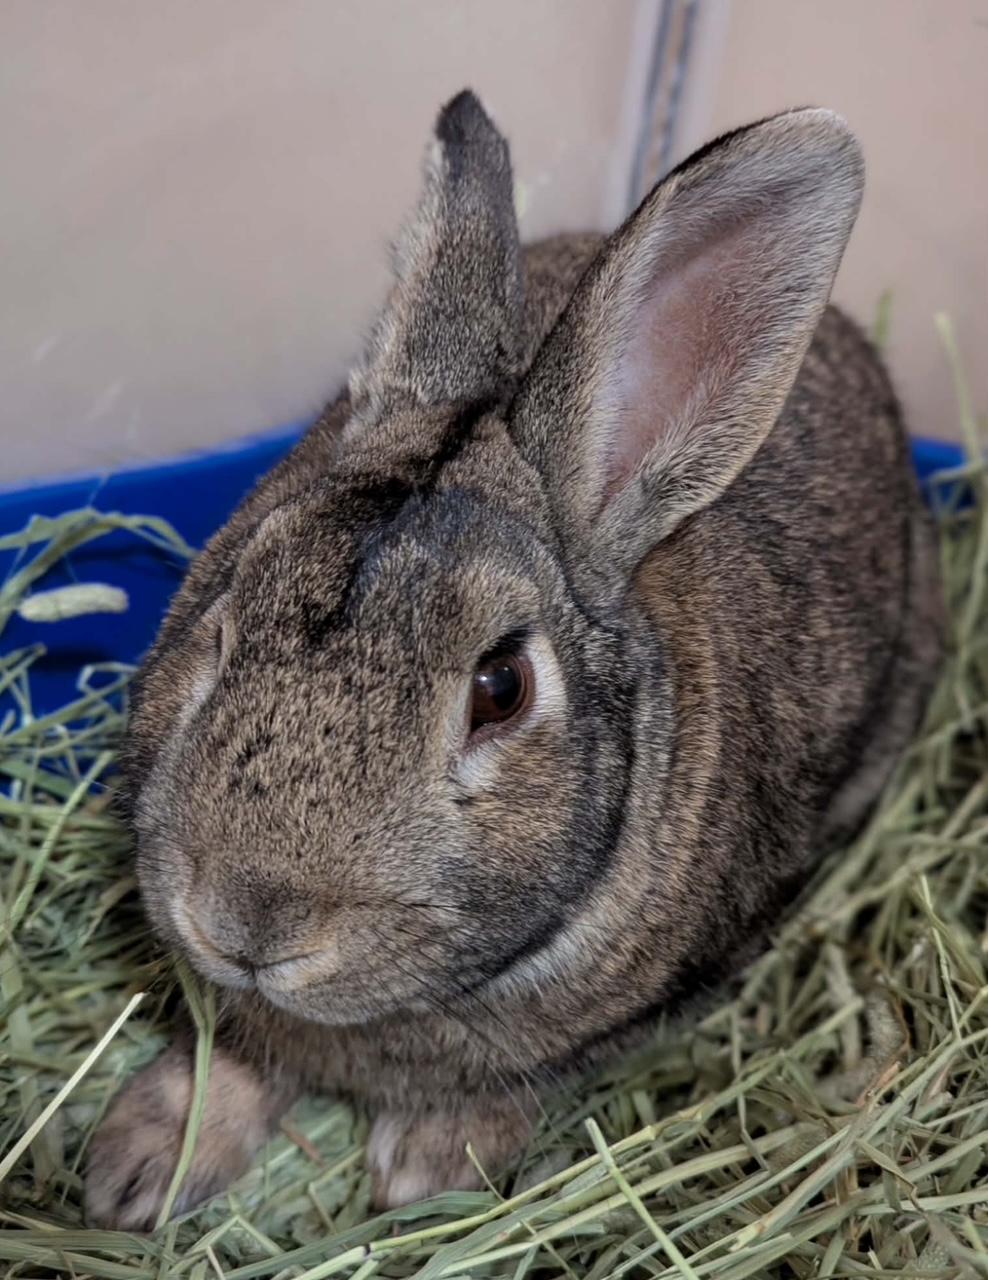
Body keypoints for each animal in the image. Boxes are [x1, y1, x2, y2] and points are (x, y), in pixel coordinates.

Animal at [84, 90, 943, 1230]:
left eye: (502, 689)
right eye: (222, 620)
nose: (246, 922)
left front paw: (428, 1169)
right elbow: (231, 1049)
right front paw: (137, 1168)